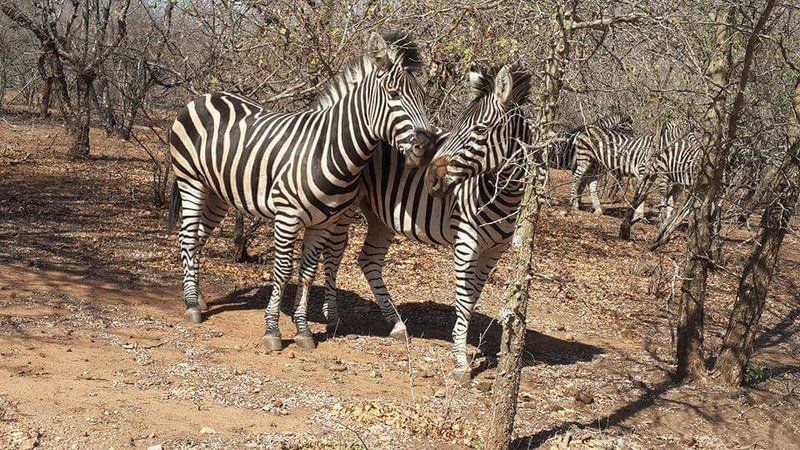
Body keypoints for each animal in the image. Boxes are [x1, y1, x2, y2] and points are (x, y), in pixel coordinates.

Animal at [165, 31, 434, 352]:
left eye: (422, 97)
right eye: (392, 94)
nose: (426, 147)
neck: (327, 149)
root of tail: (204, 97)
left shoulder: (322, 223)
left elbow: (307, 273)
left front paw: (303, 330)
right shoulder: (287, 217)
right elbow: (283, 270)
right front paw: (272, 330)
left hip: (218, 193)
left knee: (198, 236)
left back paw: (199, 298)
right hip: (191, 182)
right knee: (188, 236)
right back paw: (192, 305)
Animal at [316, 64, 536, 376]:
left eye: (480, 130)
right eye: (457, 126)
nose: (432, 179)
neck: (501, 194)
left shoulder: (495, 251)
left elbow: (474, 296)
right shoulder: (466, 243)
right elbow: (464, 298)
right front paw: (460, 359)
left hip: (381, 215)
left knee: (368, 259)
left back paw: (395, 322)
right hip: (345, 207)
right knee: (333, 253)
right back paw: (332, 315)